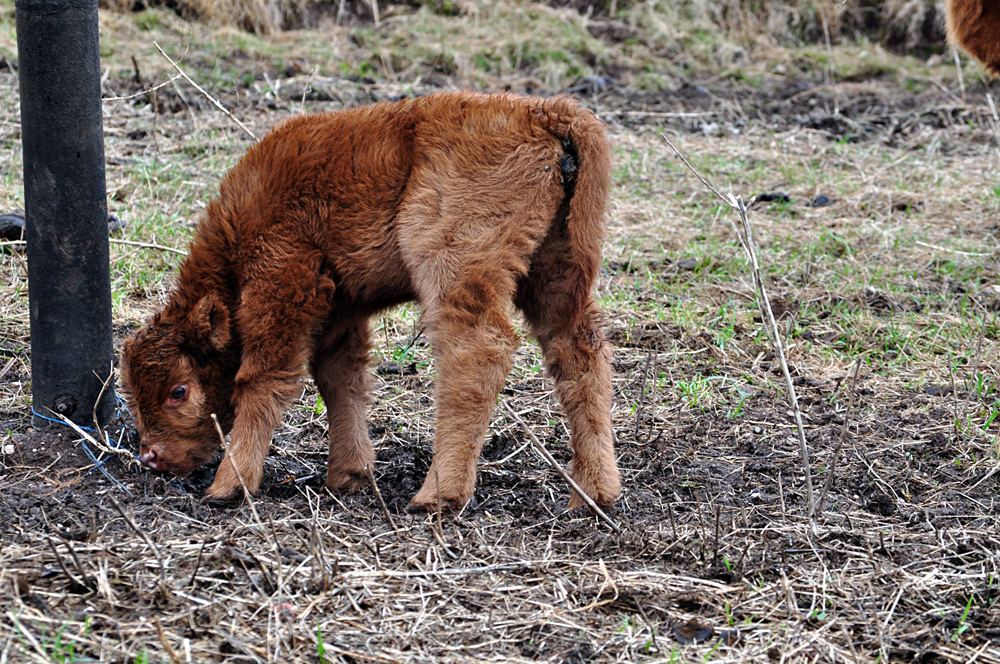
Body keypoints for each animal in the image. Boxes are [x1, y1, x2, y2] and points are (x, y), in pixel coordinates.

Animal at [121, 91, 620, 510]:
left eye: (179, 390)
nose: (151, 456)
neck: (240, 226)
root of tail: (541, 111)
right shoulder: (340, 311)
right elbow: (341, 379)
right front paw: (348, 475)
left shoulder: (281, 281)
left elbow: (263, 379)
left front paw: (229, 486)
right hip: (558, 272)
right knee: (579, 353)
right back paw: (593, 493)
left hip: (455, 266)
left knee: (477, 352)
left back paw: (437, 495)